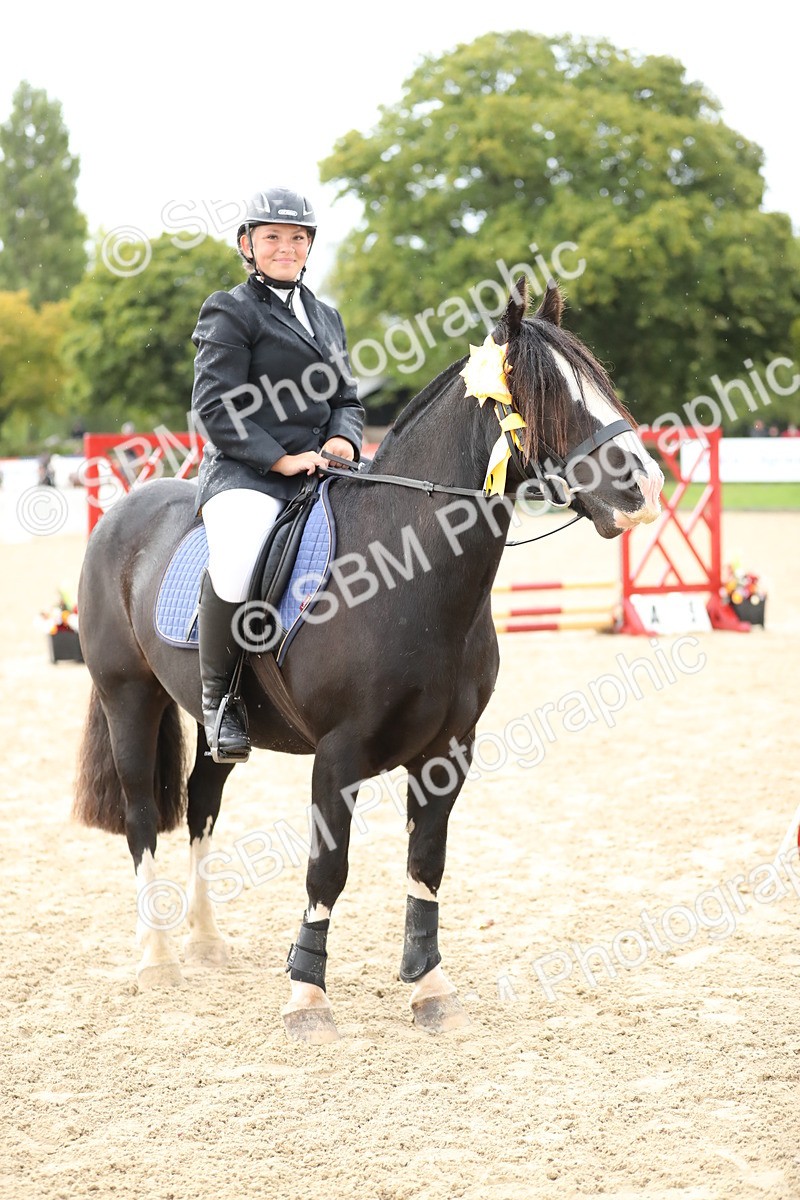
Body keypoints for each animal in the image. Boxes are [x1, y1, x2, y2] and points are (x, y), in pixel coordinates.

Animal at [73, 278, 664, 1042]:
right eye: (543, 394)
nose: (644, 490)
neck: (407, 574)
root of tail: (122, 511)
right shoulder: (339, 753)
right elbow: (328, 870)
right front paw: (307, 996)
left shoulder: (448, 752)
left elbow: (426, 863)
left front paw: (430, 987)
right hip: (129, 699)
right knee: (144, 815)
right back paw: (158, 960)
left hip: (212, 726)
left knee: (202, 806)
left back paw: (205, 944)